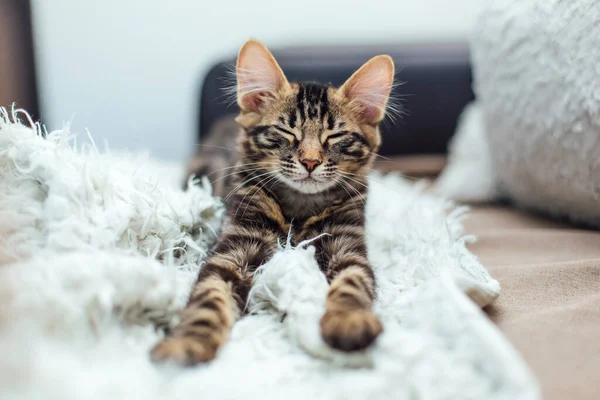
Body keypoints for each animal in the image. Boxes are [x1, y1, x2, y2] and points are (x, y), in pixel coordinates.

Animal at [151, 40, 394, 366]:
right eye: (287, 132)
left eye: (334, 136)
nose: (310, 162)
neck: (300, 208)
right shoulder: (235, 249)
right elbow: (209, 298)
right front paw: (188, 342)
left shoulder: (348, 247)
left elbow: (352, 285)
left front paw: (349, 321)